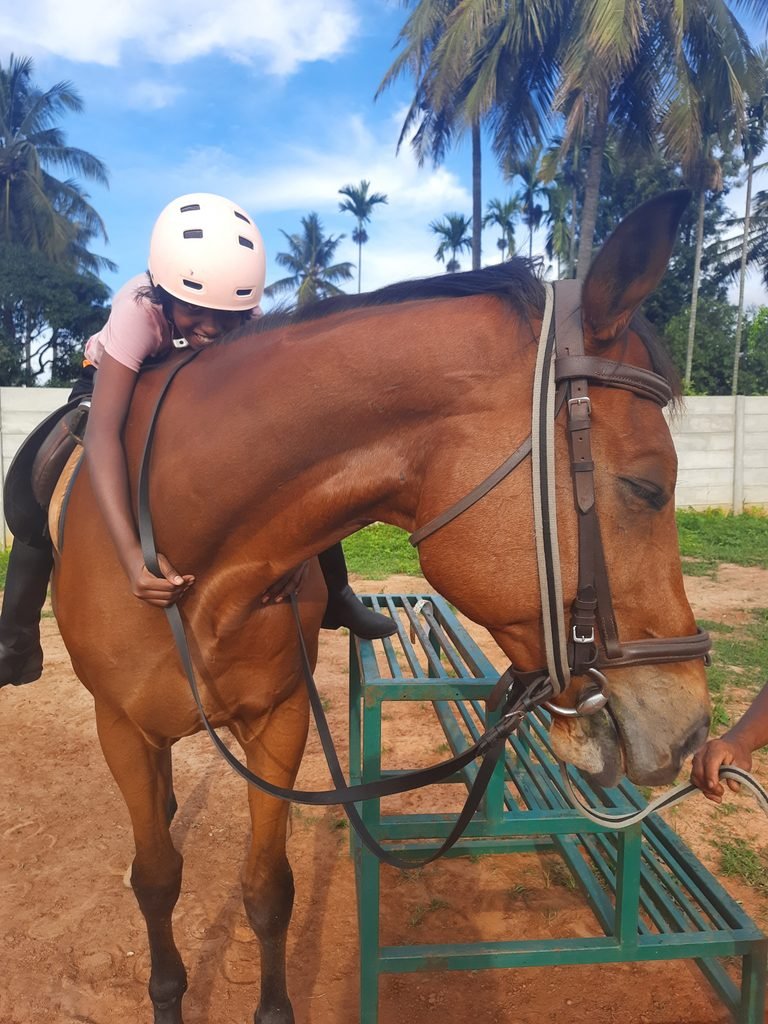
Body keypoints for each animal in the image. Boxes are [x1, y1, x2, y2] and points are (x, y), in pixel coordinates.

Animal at [48, 190, 710, 1024]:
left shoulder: (280, 718)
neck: (184, 558)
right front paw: (167, 997)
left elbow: (268, 888)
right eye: (648, 488)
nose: (691, 727)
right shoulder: (121, 728)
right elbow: (158, 879)